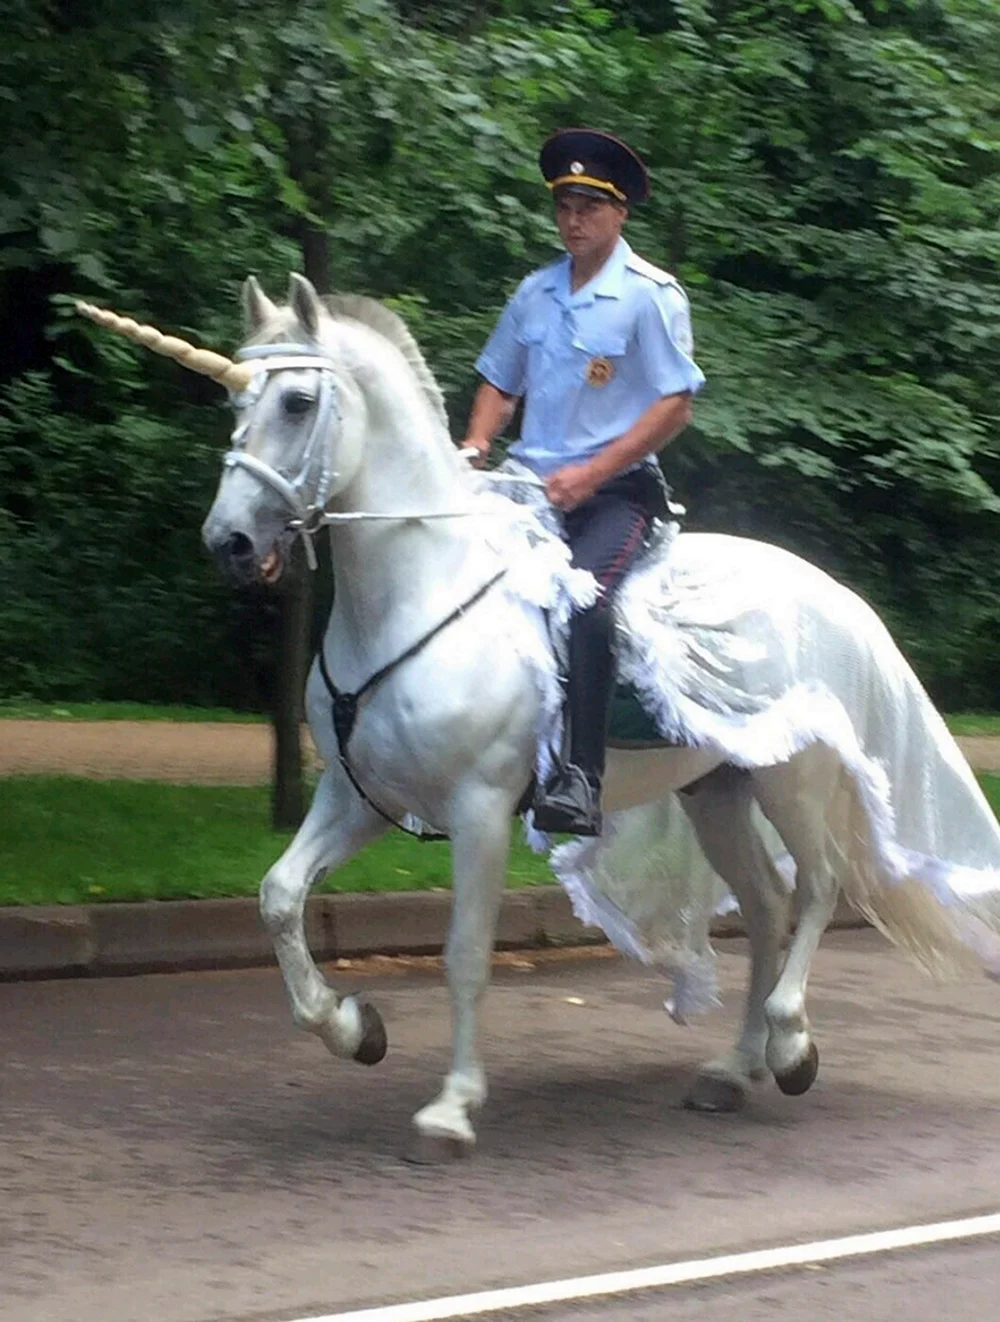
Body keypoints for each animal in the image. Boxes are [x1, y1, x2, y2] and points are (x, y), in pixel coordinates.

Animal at [78, 278, 1000, 1158]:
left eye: (299, 402)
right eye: (235, 403)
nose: (228, 542)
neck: (416, 592)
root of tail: (835, 595)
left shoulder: (479, 807)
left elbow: (464, 957)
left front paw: (451, 1110)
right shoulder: (357, 796)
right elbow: (278, 896)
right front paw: (352, 1027)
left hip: (792, 778)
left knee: (817, 889)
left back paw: (789, 1045)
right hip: (717, 791)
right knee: (769, 907)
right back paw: (732, 1071)